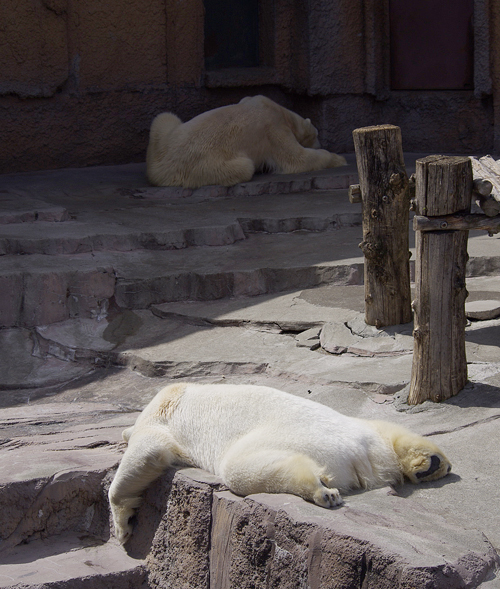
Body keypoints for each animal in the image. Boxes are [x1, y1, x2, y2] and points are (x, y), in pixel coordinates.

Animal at [107, 382, 452, 544]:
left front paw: (124, 528)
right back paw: (431, 463)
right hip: (364, 430)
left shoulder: (162, 412)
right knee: (386, 430)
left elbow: (148, 452)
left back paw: (321, 491)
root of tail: (361, 453)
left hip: (288, 438)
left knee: (241, 468)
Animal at [146, 94, 346, 187]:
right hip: (202, 167)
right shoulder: (274, 129)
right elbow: (297, 158)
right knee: (245, 166)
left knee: (164, 117)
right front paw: (339, 159)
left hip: (165, 135)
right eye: (317, 135)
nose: (320, 142)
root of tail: (162, 170)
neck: (280, 111)